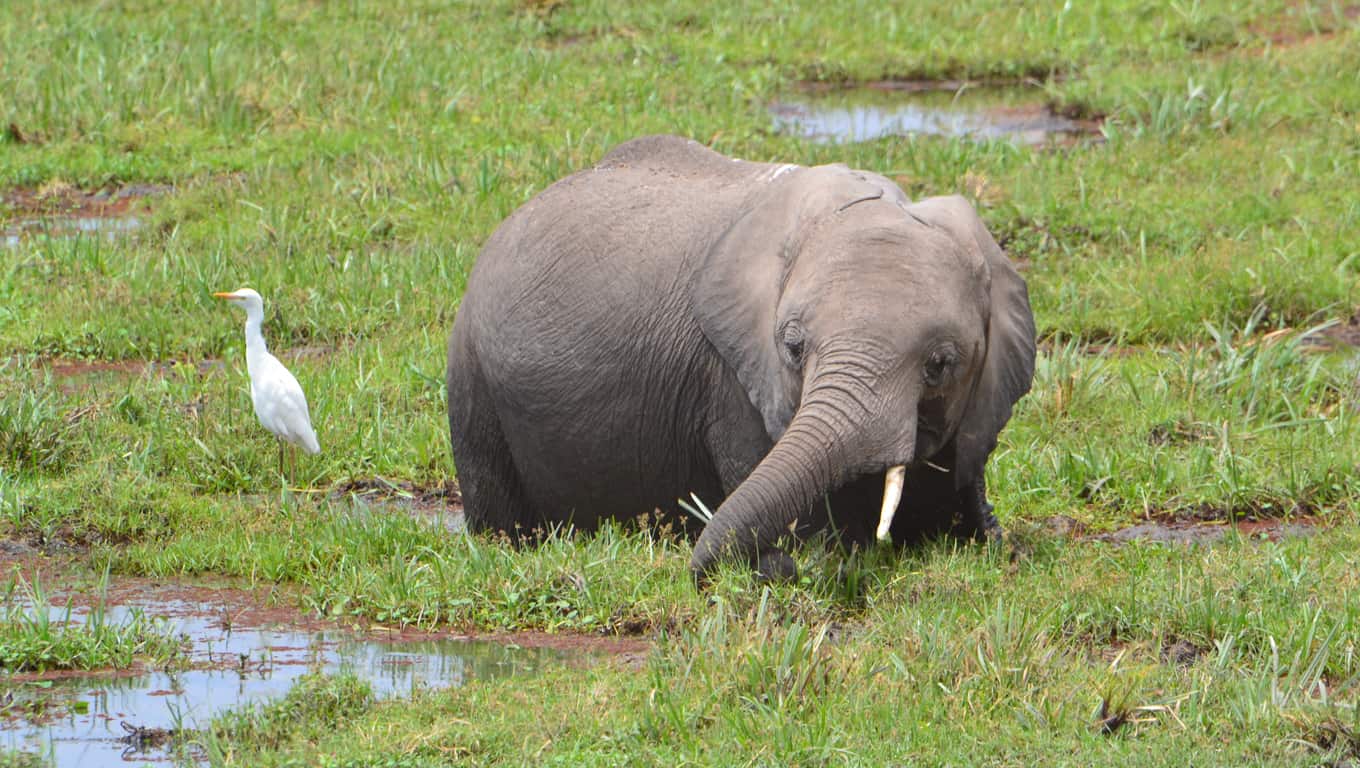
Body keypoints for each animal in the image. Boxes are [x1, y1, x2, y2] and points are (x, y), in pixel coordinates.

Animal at [443, 135, 1028, 581]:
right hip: (471, 374)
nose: (778, 565)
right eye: (793, 348)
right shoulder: (728, 376)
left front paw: (993, 542)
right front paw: (807, 557)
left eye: (940, 365)